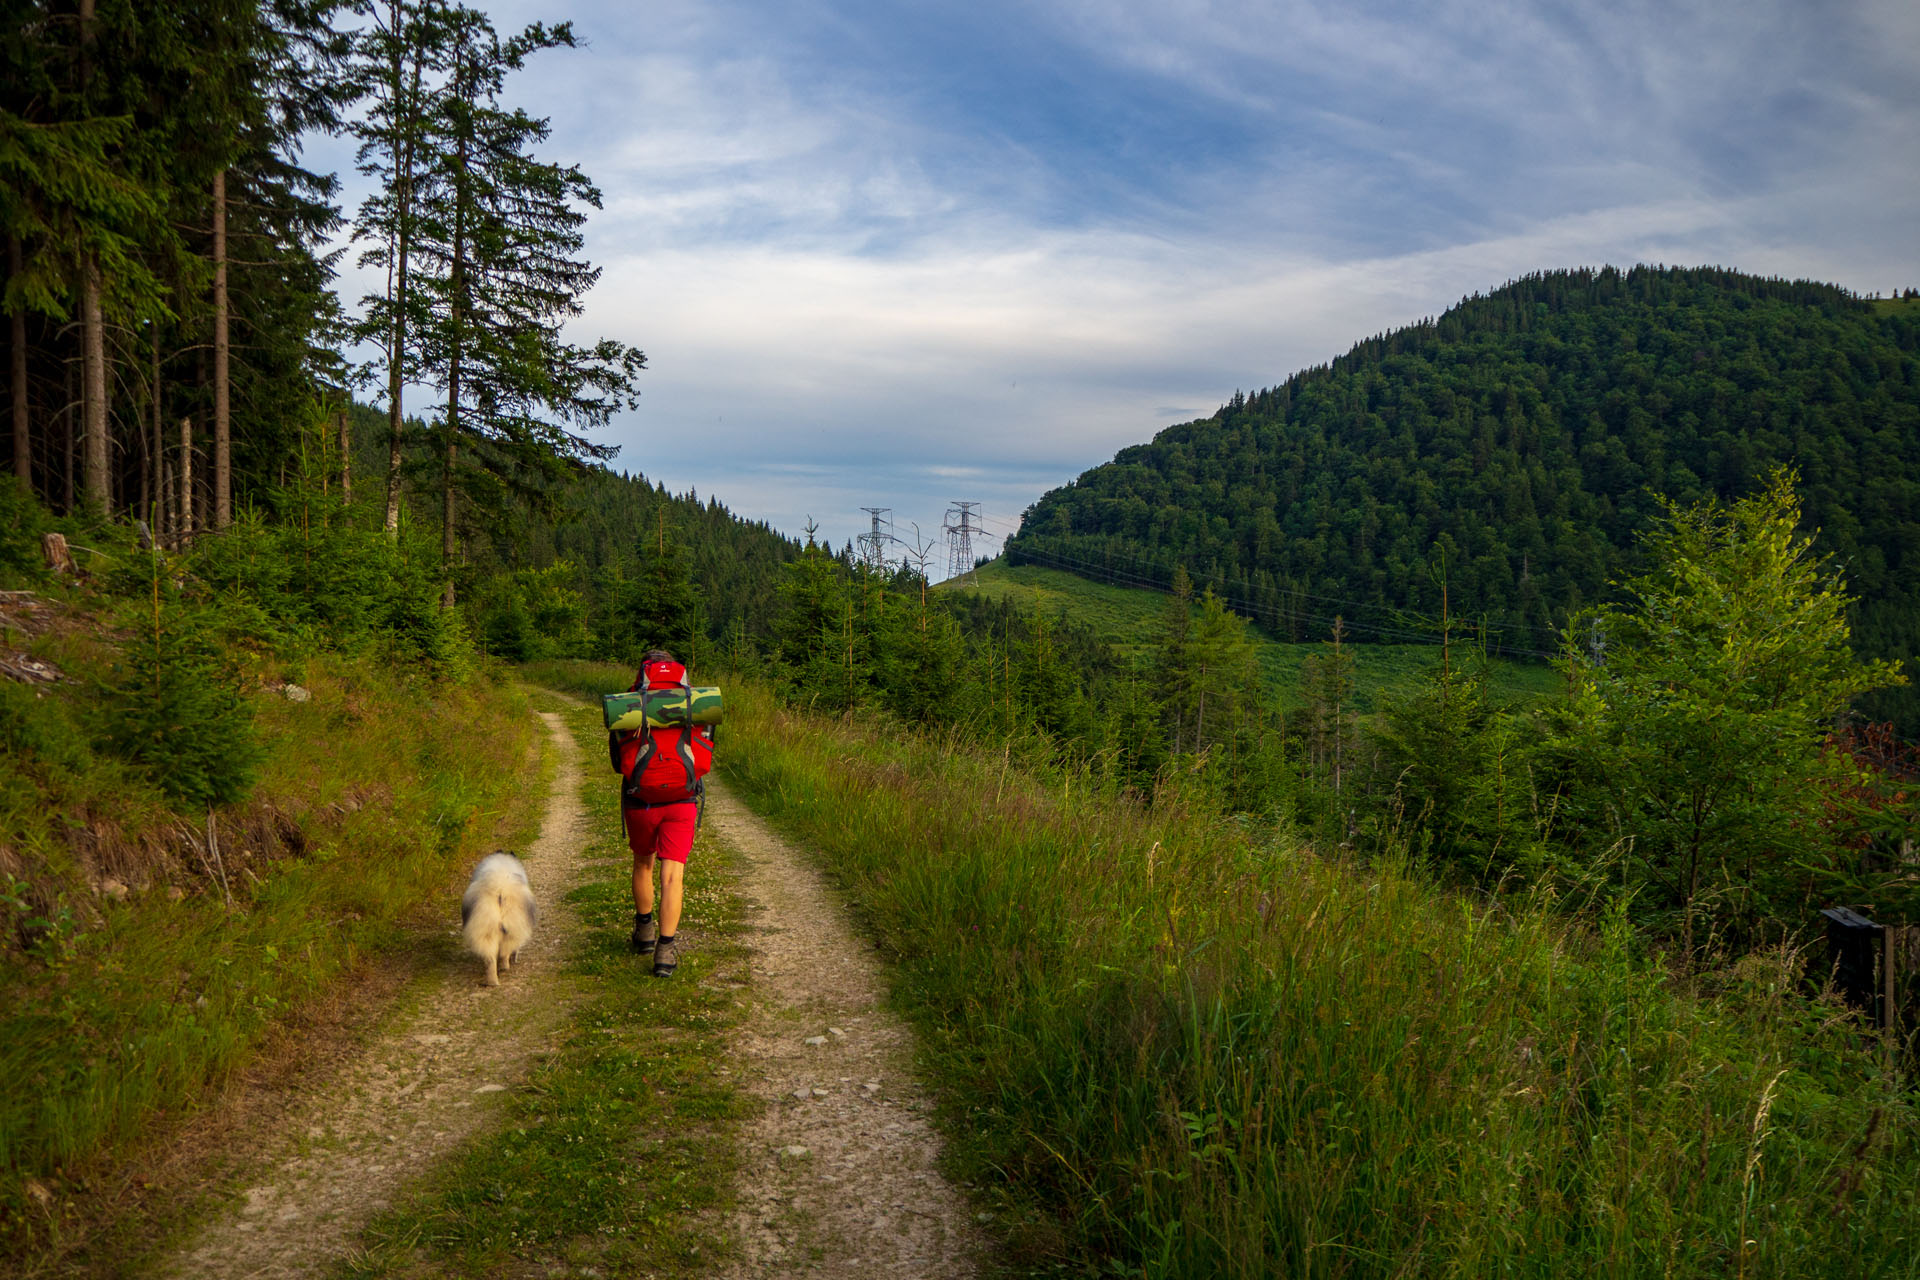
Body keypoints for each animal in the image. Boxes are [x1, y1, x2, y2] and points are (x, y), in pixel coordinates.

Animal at [456, 852, 533, 990]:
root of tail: (500, 890)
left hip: (485, 928)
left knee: (490, 958)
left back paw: (492, 981)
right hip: (513, 926)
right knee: (505, 952)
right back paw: (505, 967)